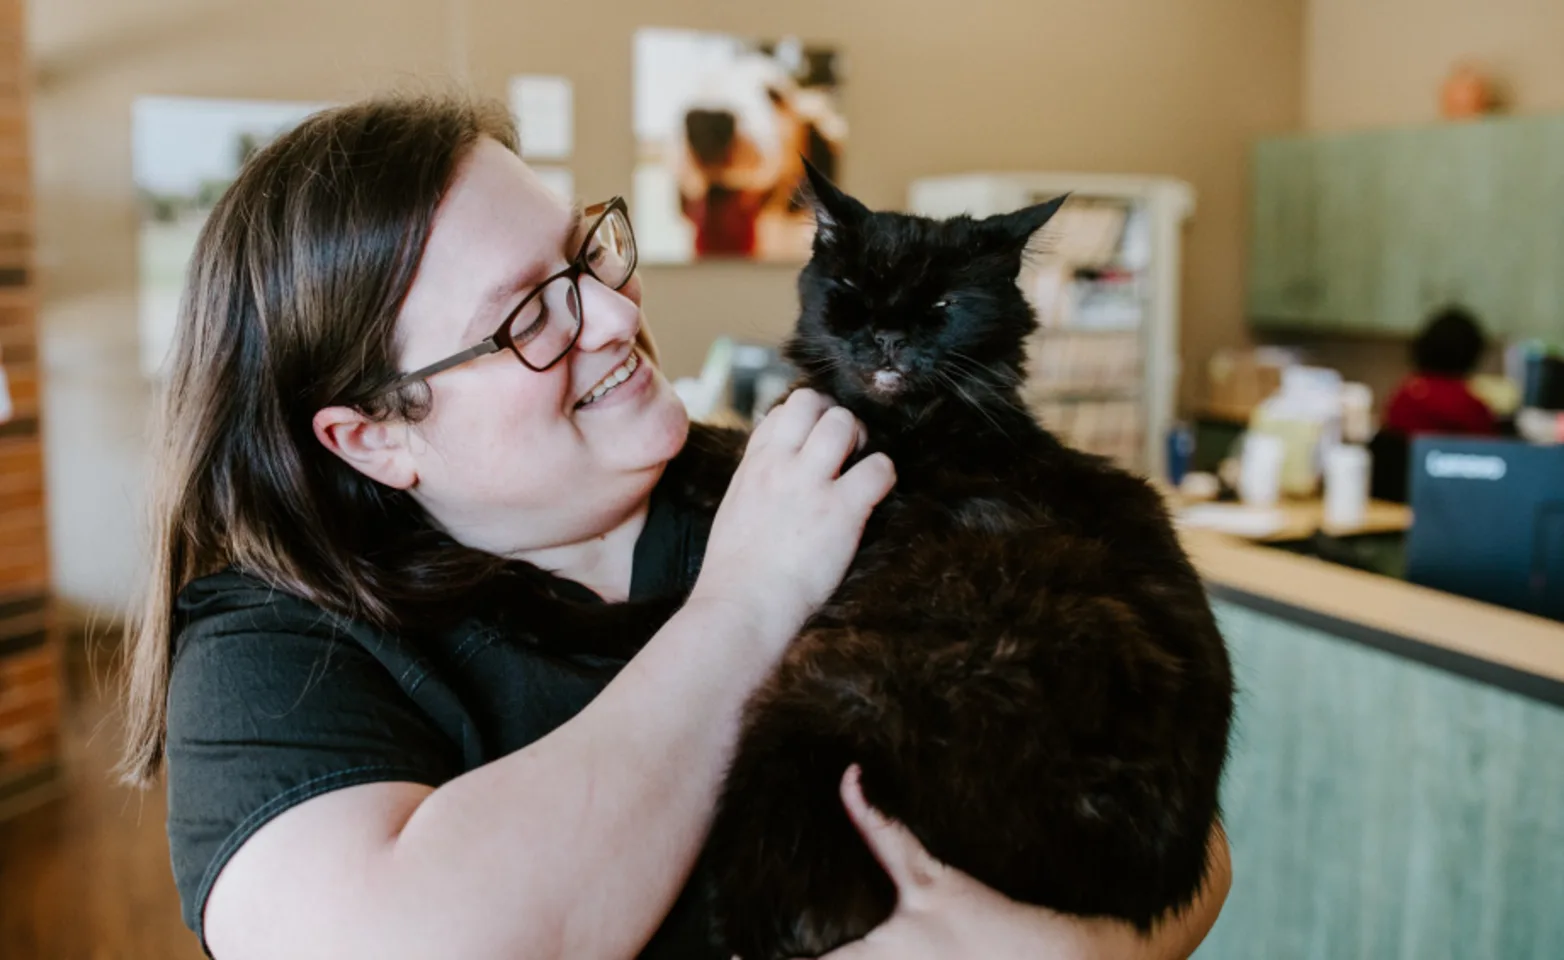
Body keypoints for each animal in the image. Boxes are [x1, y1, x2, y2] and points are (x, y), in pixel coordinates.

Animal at [706, 167, 1232, 960]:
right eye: (852, 289)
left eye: (943, 306)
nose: (888, 336)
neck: (915, 426)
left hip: (823, 691)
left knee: (812, 908)